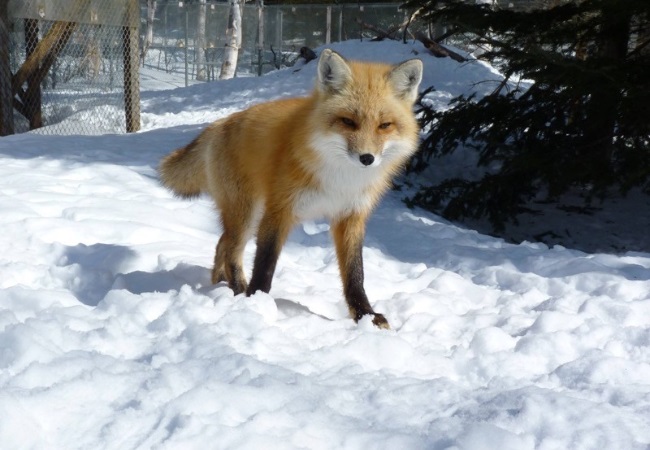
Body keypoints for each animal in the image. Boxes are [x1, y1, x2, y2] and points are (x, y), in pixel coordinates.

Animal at [159, 49, 423, 329]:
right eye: (348, 122)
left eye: (385, 125)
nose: (367, 158)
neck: (340, 178)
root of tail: (219, 123)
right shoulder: (280, 210)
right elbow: (264, 264)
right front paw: (256, 302)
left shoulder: (351, 216)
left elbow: (355, 274)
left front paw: (365, 315)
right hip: (248, 215)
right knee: (231, 249)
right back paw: (238, 289)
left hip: (248, 218)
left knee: (222, 243)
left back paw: (221, 283)